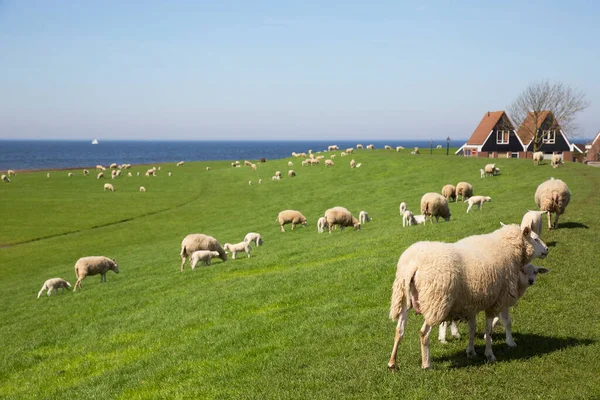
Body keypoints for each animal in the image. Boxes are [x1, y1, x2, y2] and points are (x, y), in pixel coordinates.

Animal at [390, 223, 548, 370]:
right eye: (535, 238)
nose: (546, 249)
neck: (506, 248)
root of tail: (414, 264)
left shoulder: (471, 303)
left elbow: (473, 328)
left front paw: (471, 351)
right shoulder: (497, 300)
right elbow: (489, 330)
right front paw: (490, 354)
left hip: (402, 297)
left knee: (399, 330)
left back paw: (392, 363)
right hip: (436, 301)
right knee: (424, 333)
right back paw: (426, 364)